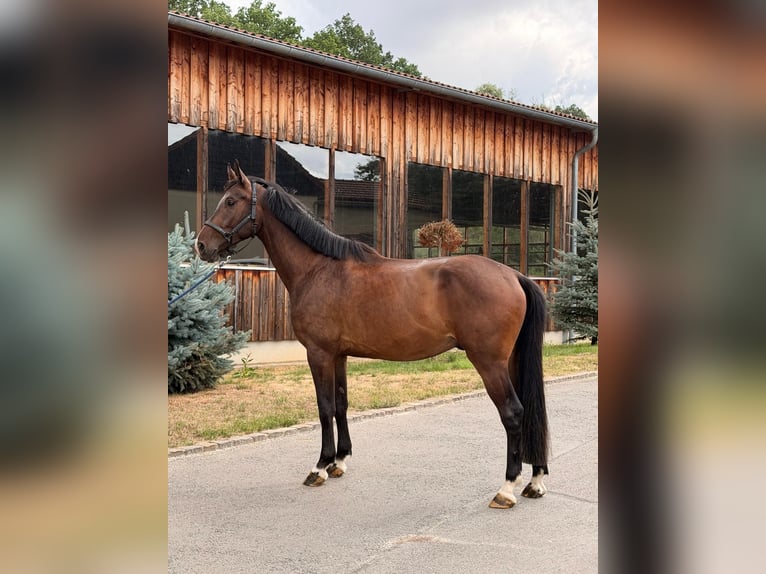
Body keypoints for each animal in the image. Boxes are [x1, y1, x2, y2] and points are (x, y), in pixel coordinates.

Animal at [196, 161, 550, 509]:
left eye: (230, 201)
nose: (201, 245)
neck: (319, 268)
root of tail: (514, 275)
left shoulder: (319, 353)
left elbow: (324, 407)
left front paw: (319, 467)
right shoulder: (338, 355)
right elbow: (341, 404)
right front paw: (339, 462)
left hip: (489, 362)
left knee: (513, 413)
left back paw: (507, 488)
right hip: (511, 360)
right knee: (529, 411)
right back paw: (534, 481)